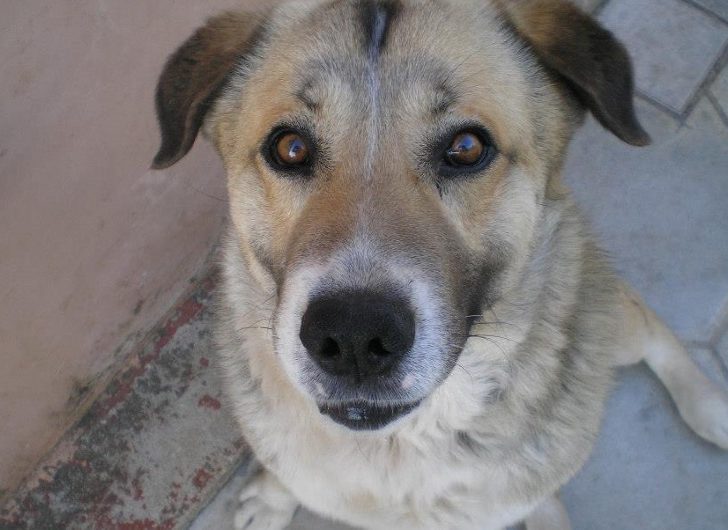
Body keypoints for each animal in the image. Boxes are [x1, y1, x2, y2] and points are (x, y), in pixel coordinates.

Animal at [152, 2, 728, 524]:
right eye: (289, 148)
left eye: (467, 147)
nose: (354, 337)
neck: (398, 445)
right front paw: (274, 496)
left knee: (645, 317)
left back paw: (709, 409)